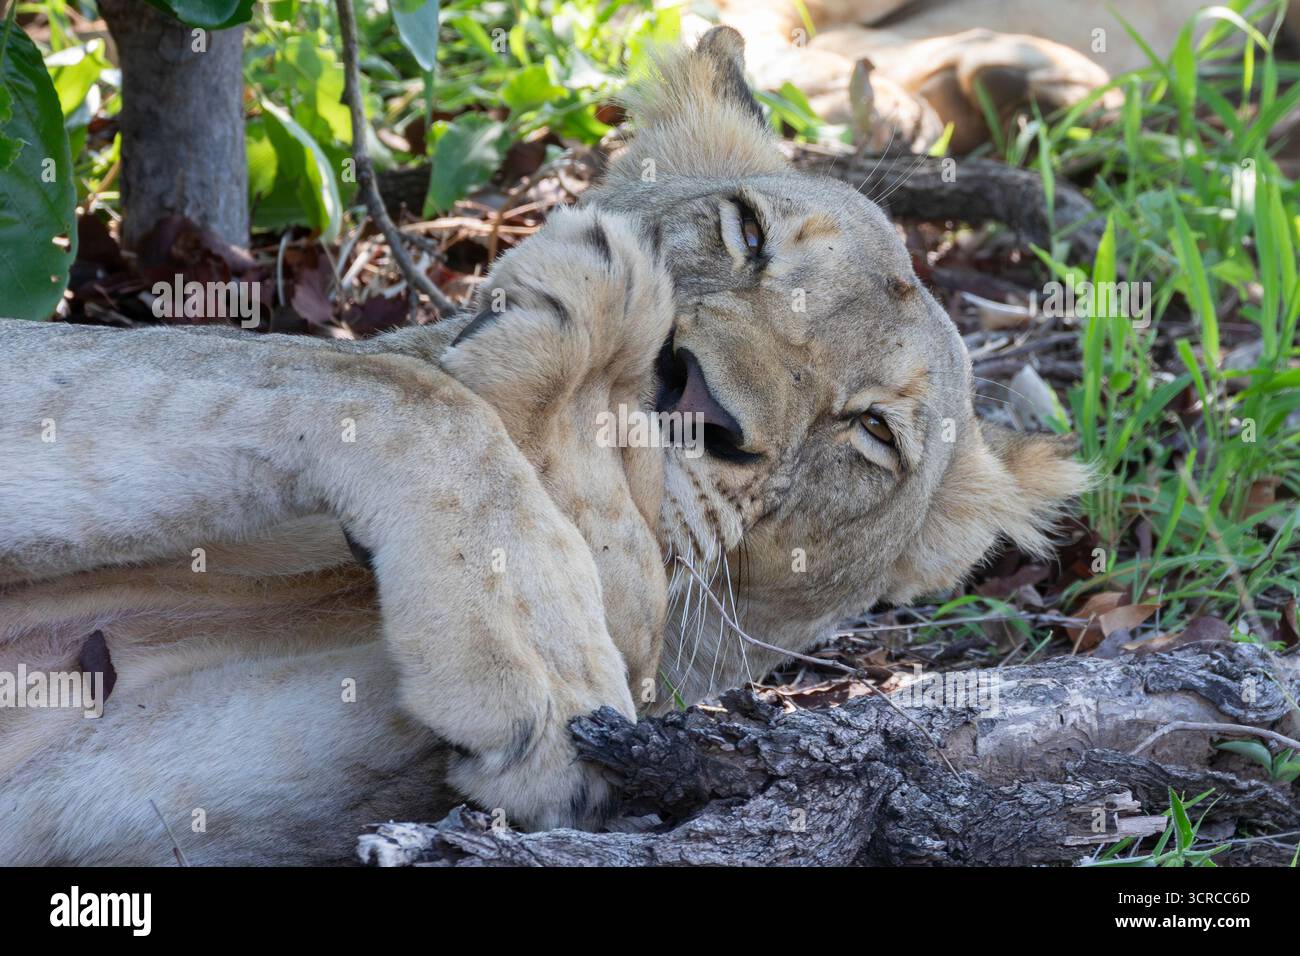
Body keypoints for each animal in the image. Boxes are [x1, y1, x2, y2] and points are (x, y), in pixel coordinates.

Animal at [0, 28, 1088, 865]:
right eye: (747, 232)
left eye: (870, 430)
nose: (698, 395)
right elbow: (394, 390)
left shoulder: (133, 787)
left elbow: (617, 590)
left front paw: (539, 643)